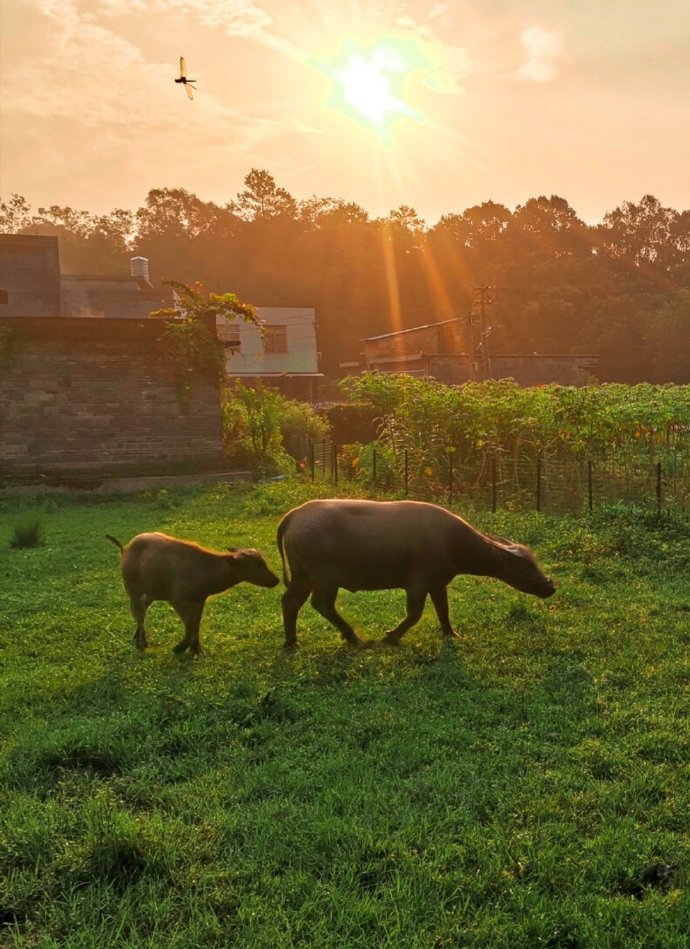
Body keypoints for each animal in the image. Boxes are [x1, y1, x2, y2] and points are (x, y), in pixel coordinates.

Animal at [276, 496, 552, 644]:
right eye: (527, 564)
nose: (550, 586)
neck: (452, 542)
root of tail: (295, 515)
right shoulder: (417, 585)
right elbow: (415, 614)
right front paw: (391, 636)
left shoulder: (438, 583)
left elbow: (443, 610)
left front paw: (452, 634)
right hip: (324, 579)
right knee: (321, 604)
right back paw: (353, 637)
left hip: (303, 576)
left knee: (290, 602)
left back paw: (292, 641)